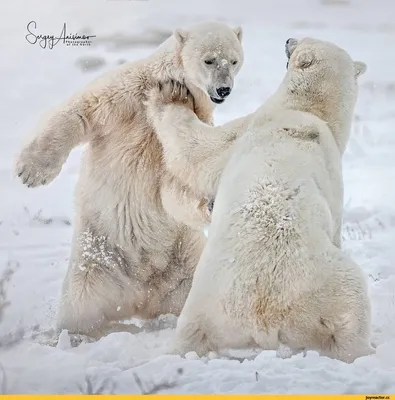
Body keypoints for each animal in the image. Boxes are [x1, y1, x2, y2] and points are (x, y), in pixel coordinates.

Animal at [13, 21, 244, 338]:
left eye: (233, 61)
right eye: (209, 60)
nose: (224, 89)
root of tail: (139, 299)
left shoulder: (187, 123)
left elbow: (174, 181)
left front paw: (211, 202)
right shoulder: (127, 95)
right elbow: (83, 110)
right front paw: (31, 171)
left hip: (183, 265)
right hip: (97, 262)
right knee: (81, 310)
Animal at [148, 37, 374, 362]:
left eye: (302, 39)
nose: (288, 39)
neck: (308, 112)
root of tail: (265, 317)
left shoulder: (255, 126)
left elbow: (198, 151)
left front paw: (170, 92)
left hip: (326, 284)